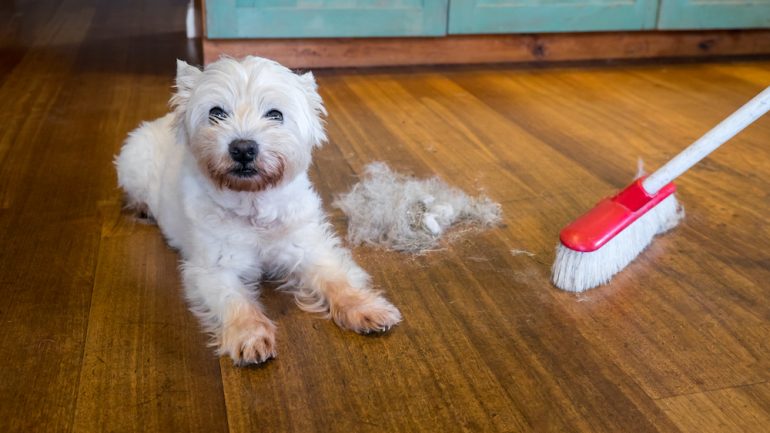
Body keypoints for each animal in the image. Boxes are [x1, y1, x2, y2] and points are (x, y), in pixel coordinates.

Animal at [115, 56, 402, 364]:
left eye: (275, 115)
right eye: (216, 113)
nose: (243, 148)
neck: (253, 206)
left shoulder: (308, 248)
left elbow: (336, 279)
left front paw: (366, 308)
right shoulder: (212, 269)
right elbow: (235, 301)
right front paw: (249, 336)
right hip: (132, 164)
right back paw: (143, 208)